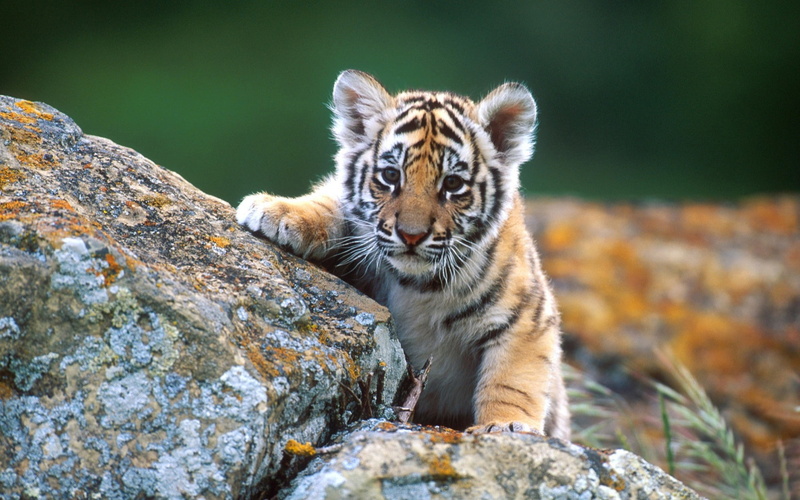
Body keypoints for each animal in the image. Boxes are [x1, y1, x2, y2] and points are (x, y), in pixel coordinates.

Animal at [236, 70, 570, 439]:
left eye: (452, 184)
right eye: (391, 175)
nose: (411, 235)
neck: (418, 286)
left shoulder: (527, 317)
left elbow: (512, 381)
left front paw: (505, 425)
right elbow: (331, 201)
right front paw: (277, 211)